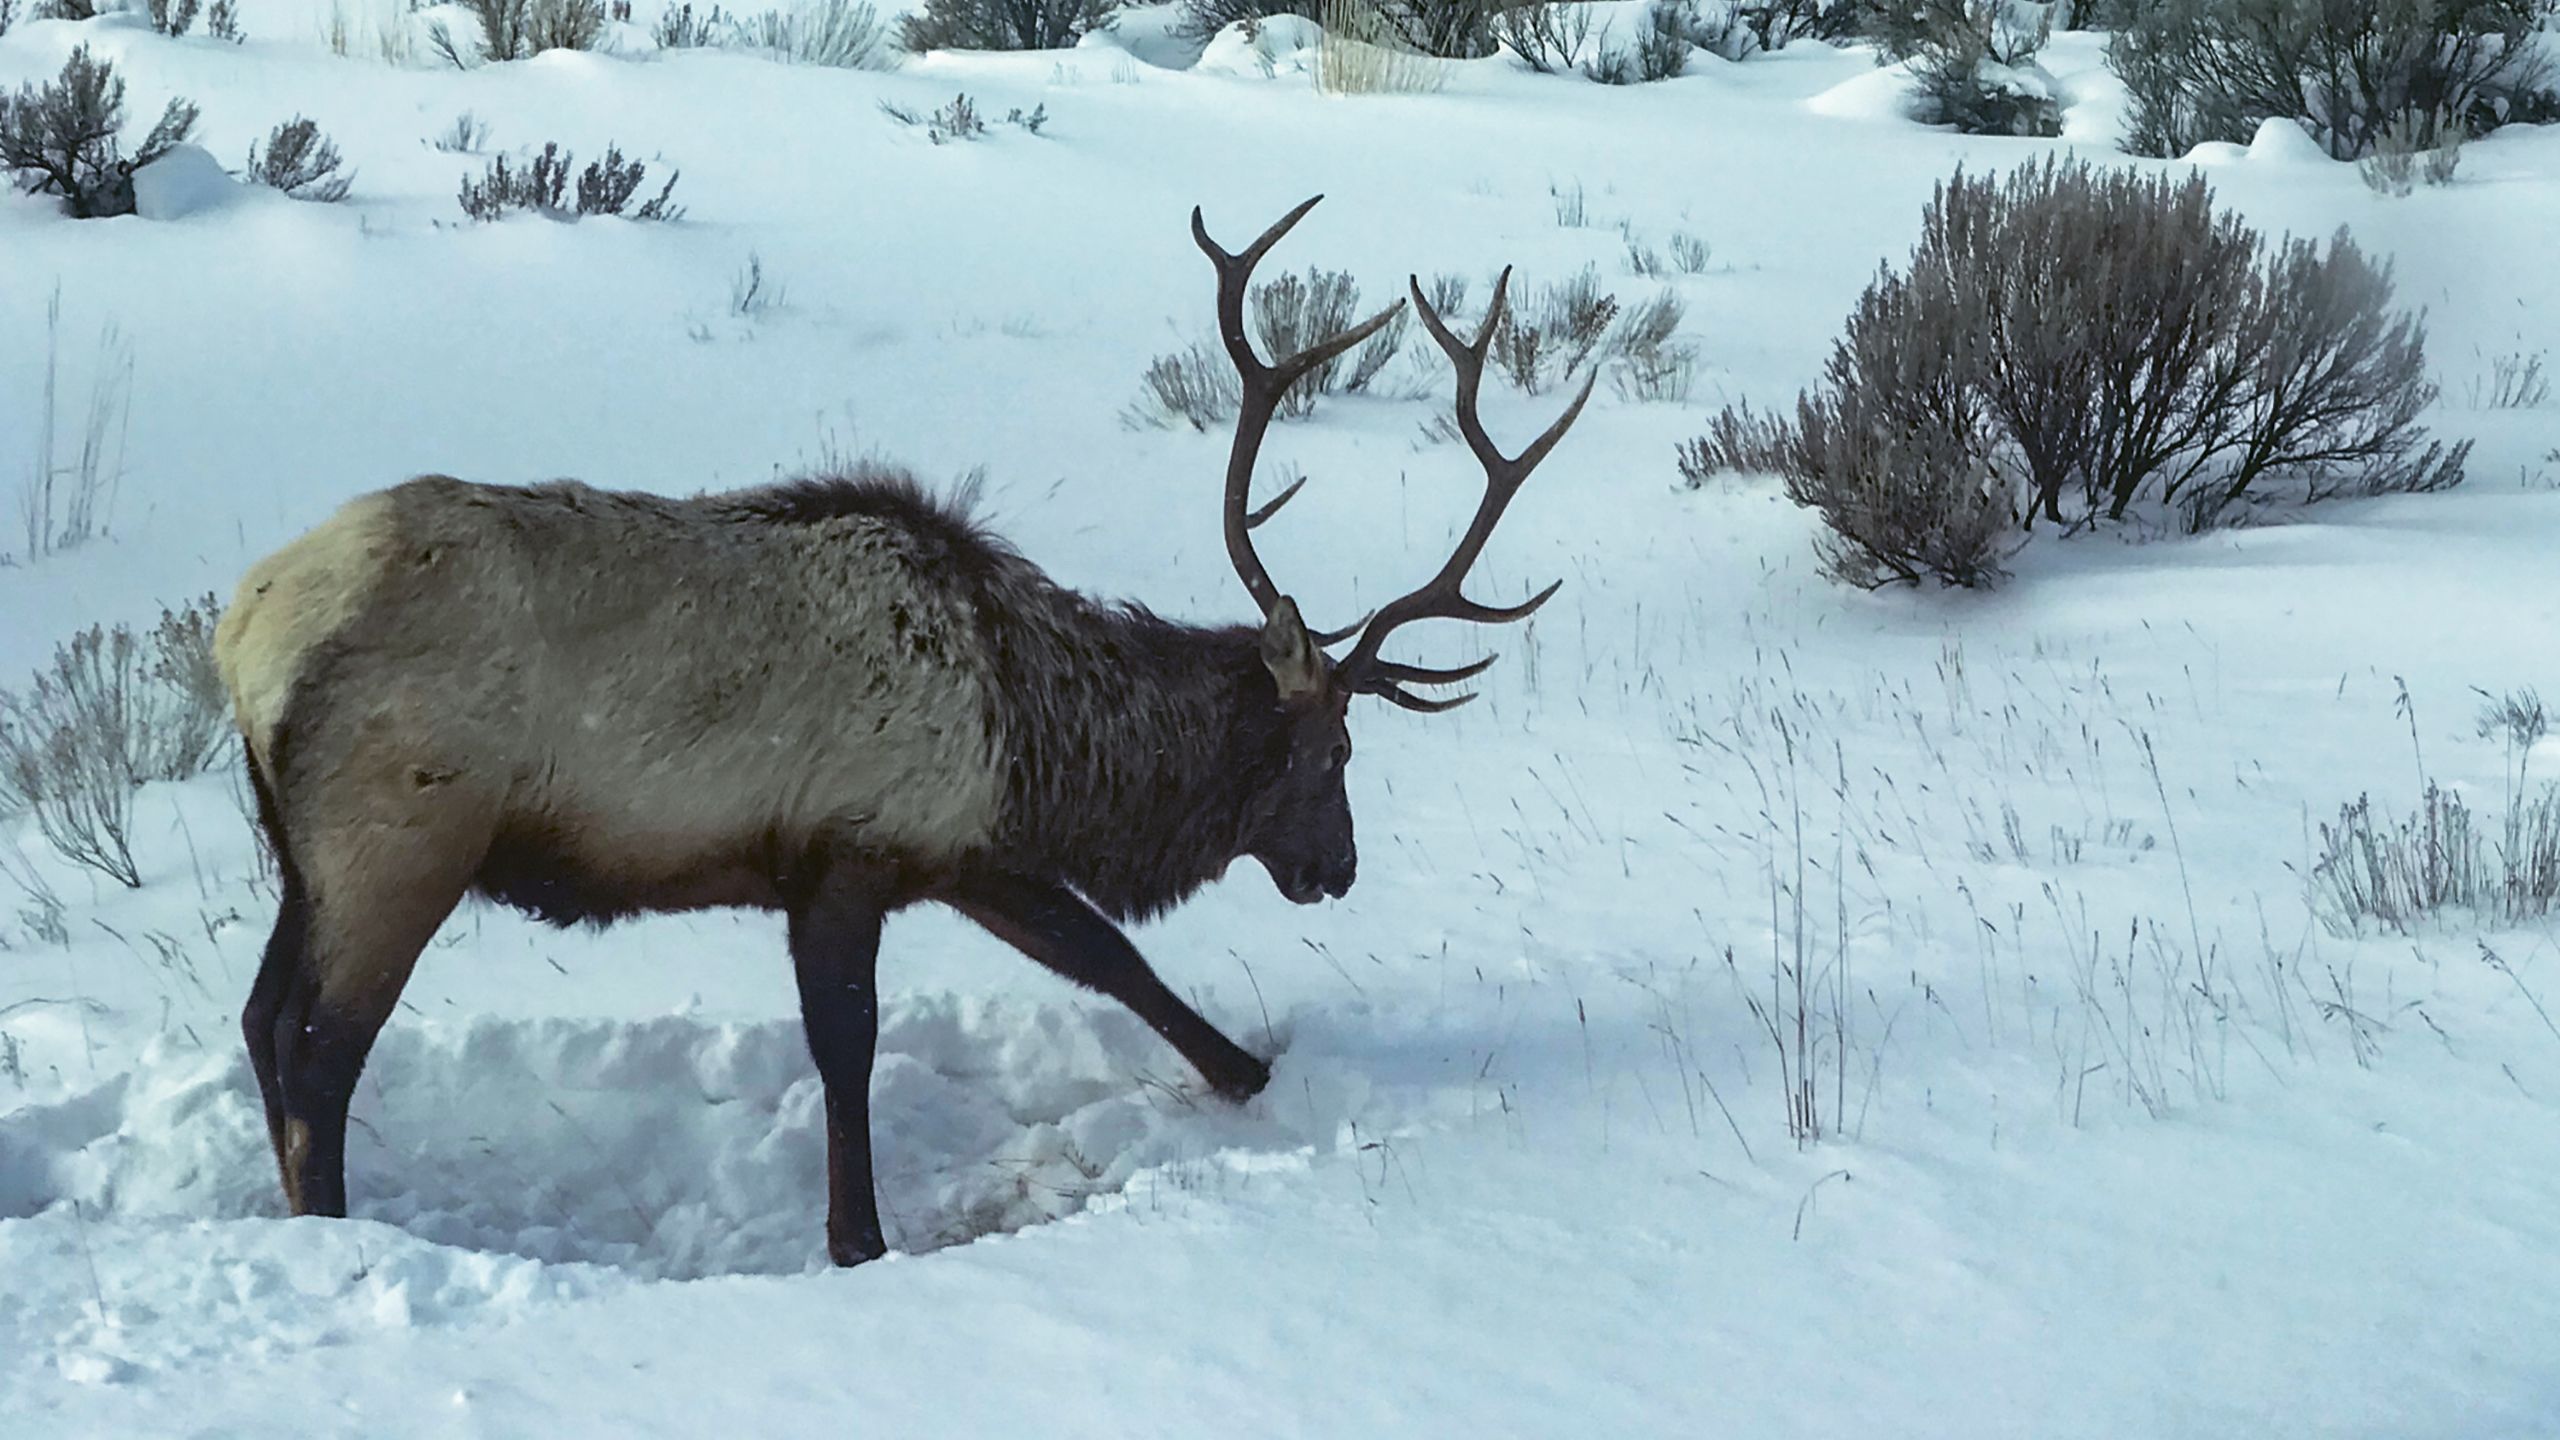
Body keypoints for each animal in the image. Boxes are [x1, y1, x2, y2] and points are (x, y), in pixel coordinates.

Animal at [214, 197, 1591, 1267]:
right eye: (1330, 752)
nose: (1336, 869)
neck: (1036, 733)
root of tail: (239, 630)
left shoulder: (965, 851)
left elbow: (1110, 960)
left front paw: (1250, 1075)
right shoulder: (850, 850)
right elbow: (851, 1048)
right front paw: (858, 1239)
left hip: (304, 852)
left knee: (263, 1021)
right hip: (401, 836)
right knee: (321, 1047)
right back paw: (332, 1236)